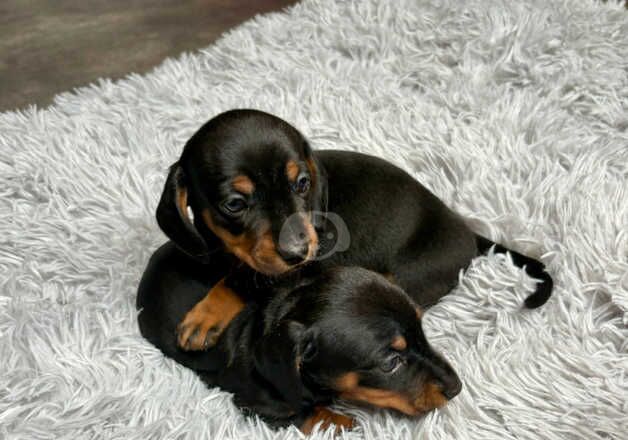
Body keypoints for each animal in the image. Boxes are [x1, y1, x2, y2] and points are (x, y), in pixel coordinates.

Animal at [137, 242, 462, 434]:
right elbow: (310, 414)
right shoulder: (260, 407)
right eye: (390, 363)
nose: (457, 388)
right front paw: (344, 422)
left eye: (422, 328)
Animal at [153, 108, 556, 352]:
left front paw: (205, 315)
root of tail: (468, 233)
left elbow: (242, 280)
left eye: (301, 183)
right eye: (234, 204)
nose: (298, 253)